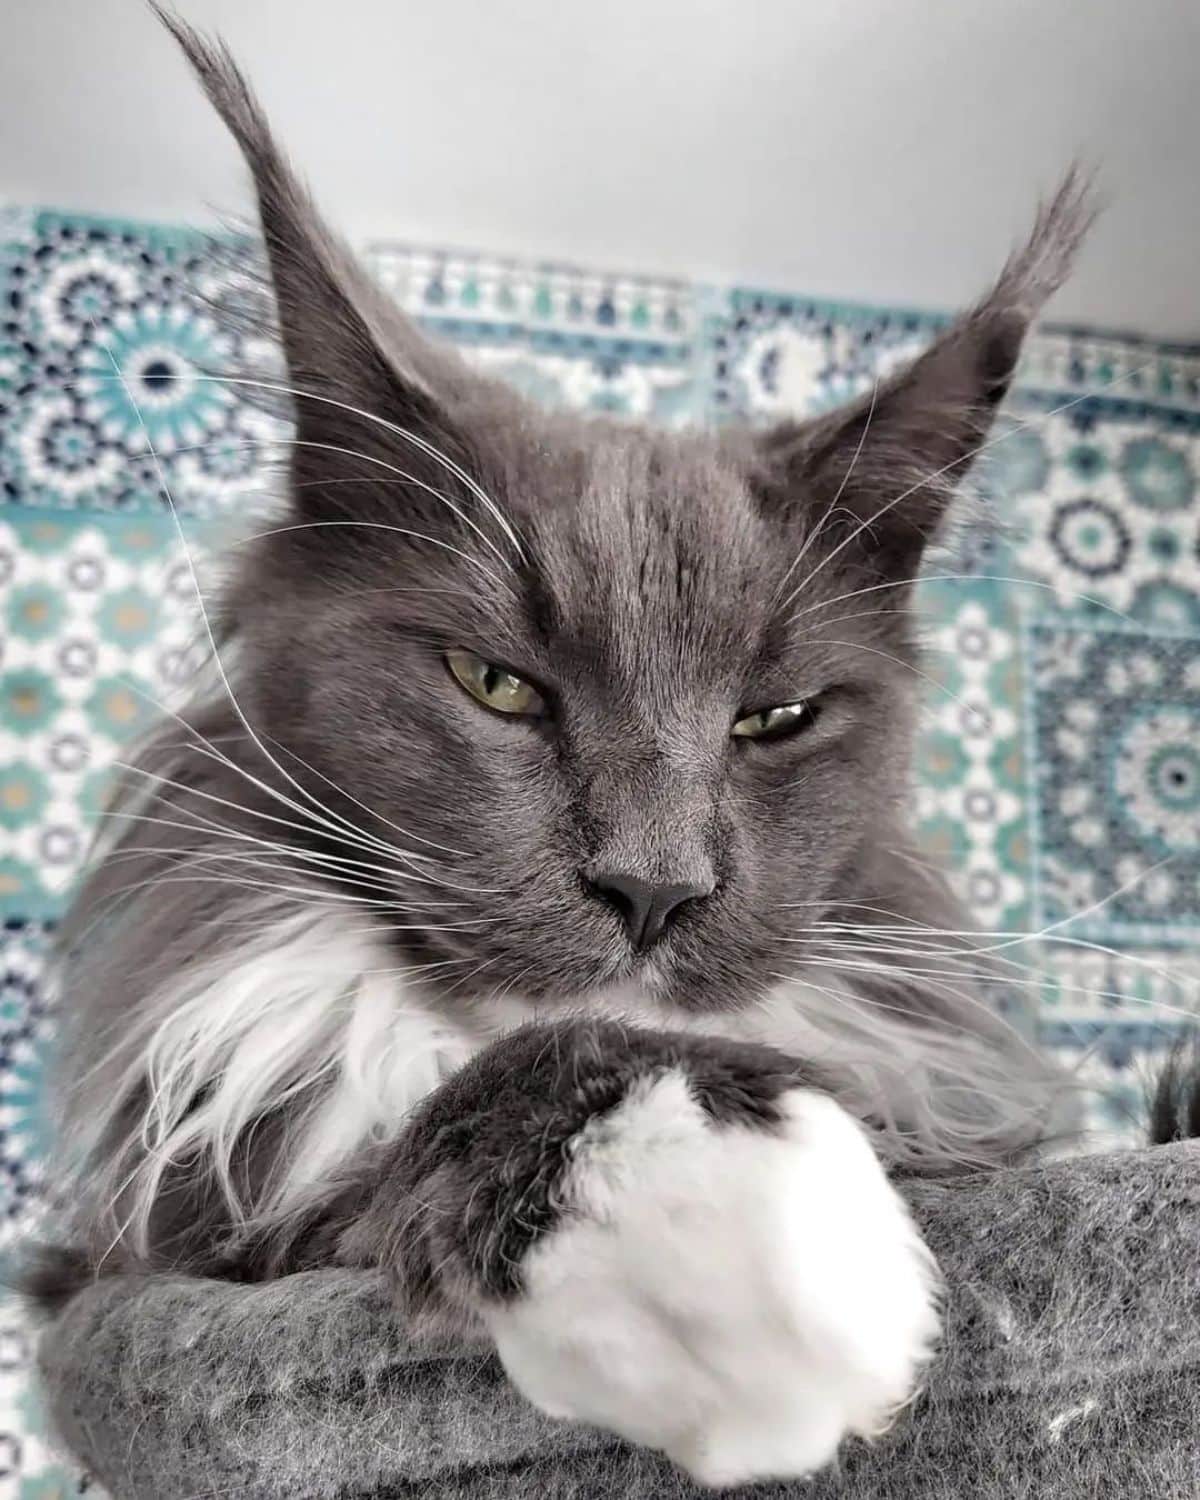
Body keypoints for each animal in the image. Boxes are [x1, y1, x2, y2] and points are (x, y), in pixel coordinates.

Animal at [28, 8, 1098, 1488]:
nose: (654, 888)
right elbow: (453, 1114)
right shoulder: (155, 1250)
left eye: (775, 719)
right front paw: (758, 1262)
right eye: (498, 687)